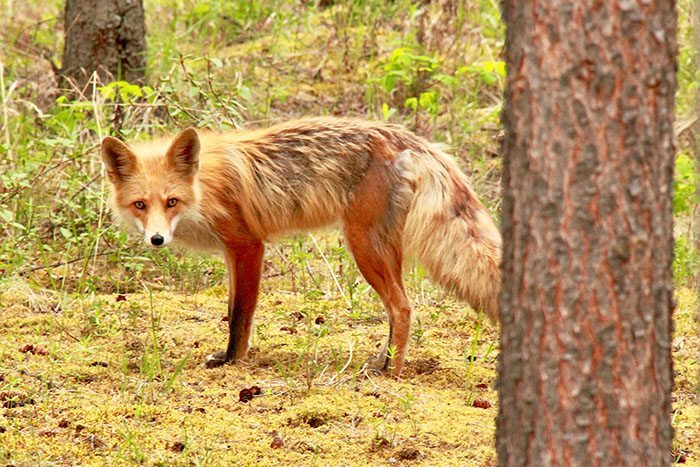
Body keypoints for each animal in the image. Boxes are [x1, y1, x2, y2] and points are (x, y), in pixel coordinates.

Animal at [101, 117, 501, 377]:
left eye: (171, 202)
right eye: (140, 204)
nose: (157, 240)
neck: (204, 188)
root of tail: (407, 137)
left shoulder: (248, 246)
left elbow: (239, 317)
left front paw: (233, 361)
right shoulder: (231, 252)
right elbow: (232, 310)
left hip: (363, 245)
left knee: (402, 307)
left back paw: (393, 372)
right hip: (385, 246)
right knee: (399, 308)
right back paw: (384, 361)